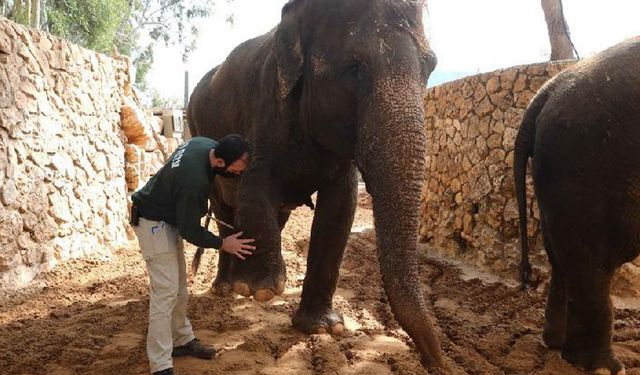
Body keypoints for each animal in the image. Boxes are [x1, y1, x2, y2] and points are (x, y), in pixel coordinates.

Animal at [185, 0, 444, 370]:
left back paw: (236, 287)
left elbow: (340, 209)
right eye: (354, 67)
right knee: (223, 208)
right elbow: (256, 183)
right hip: (198, 130)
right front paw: (263, 289)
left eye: (430, 66)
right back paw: (227, 288)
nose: (438, 363)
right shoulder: (267, 105)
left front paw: (323, 328)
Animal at [516, 36, 640, 375]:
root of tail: (547, 92)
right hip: (588, 162)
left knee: (563, 258)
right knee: (591, 263)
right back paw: (602, 367)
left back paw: (556, 344)